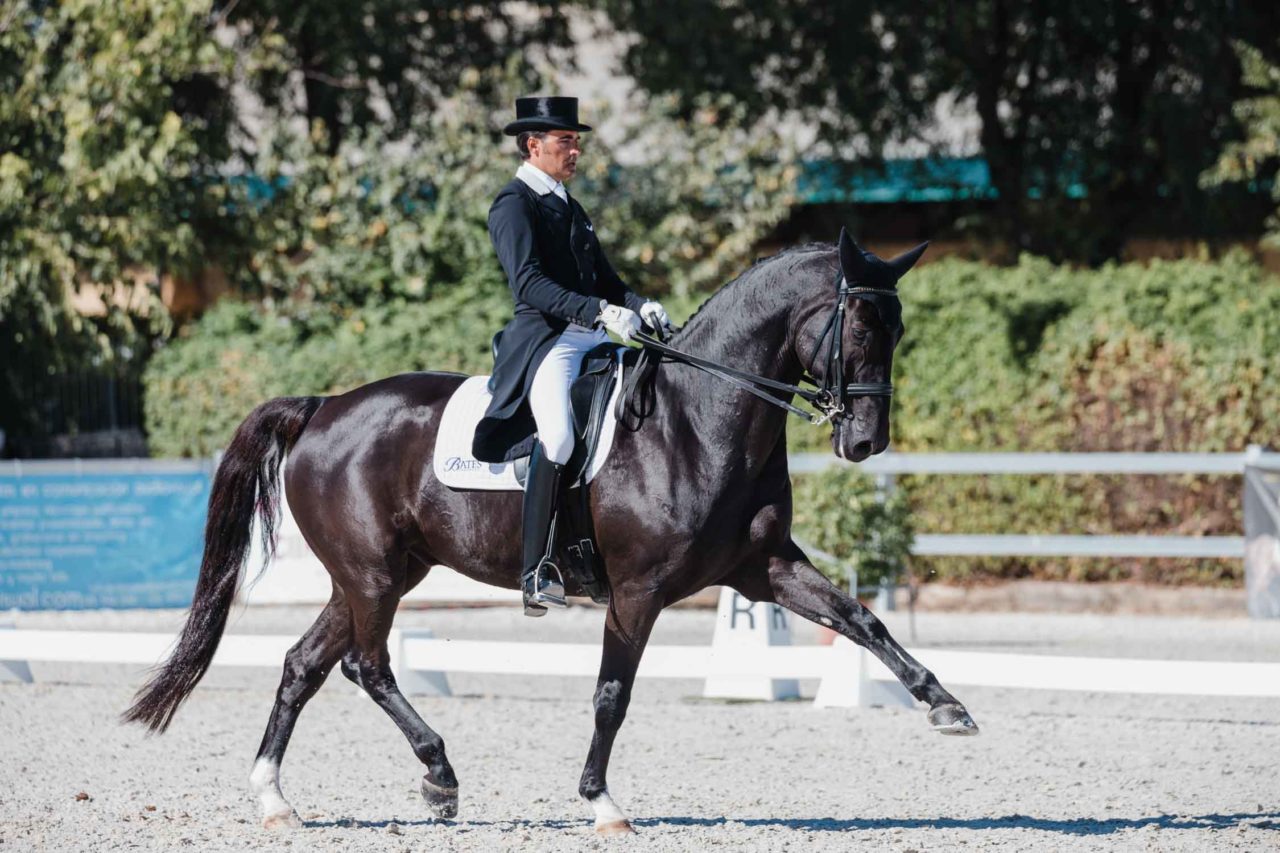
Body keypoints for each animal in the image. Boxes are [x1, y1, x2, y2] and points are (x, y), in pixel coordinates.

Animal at [122, 225, 977, 829]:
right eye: (858, 329)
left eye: (899, 331)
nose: (865, 442)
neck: (696, 419)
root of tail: (324, 406)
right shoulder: (637, 590)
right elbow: (611, 693)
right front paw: (602, 802)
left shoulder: (762, 566)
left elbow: (860, 617)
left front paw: (945, 705)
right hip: (371, 574)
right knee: (366, 665)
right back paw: (439, 775)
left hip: (376, 574)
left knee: (305, 663)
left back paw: (275, 797)